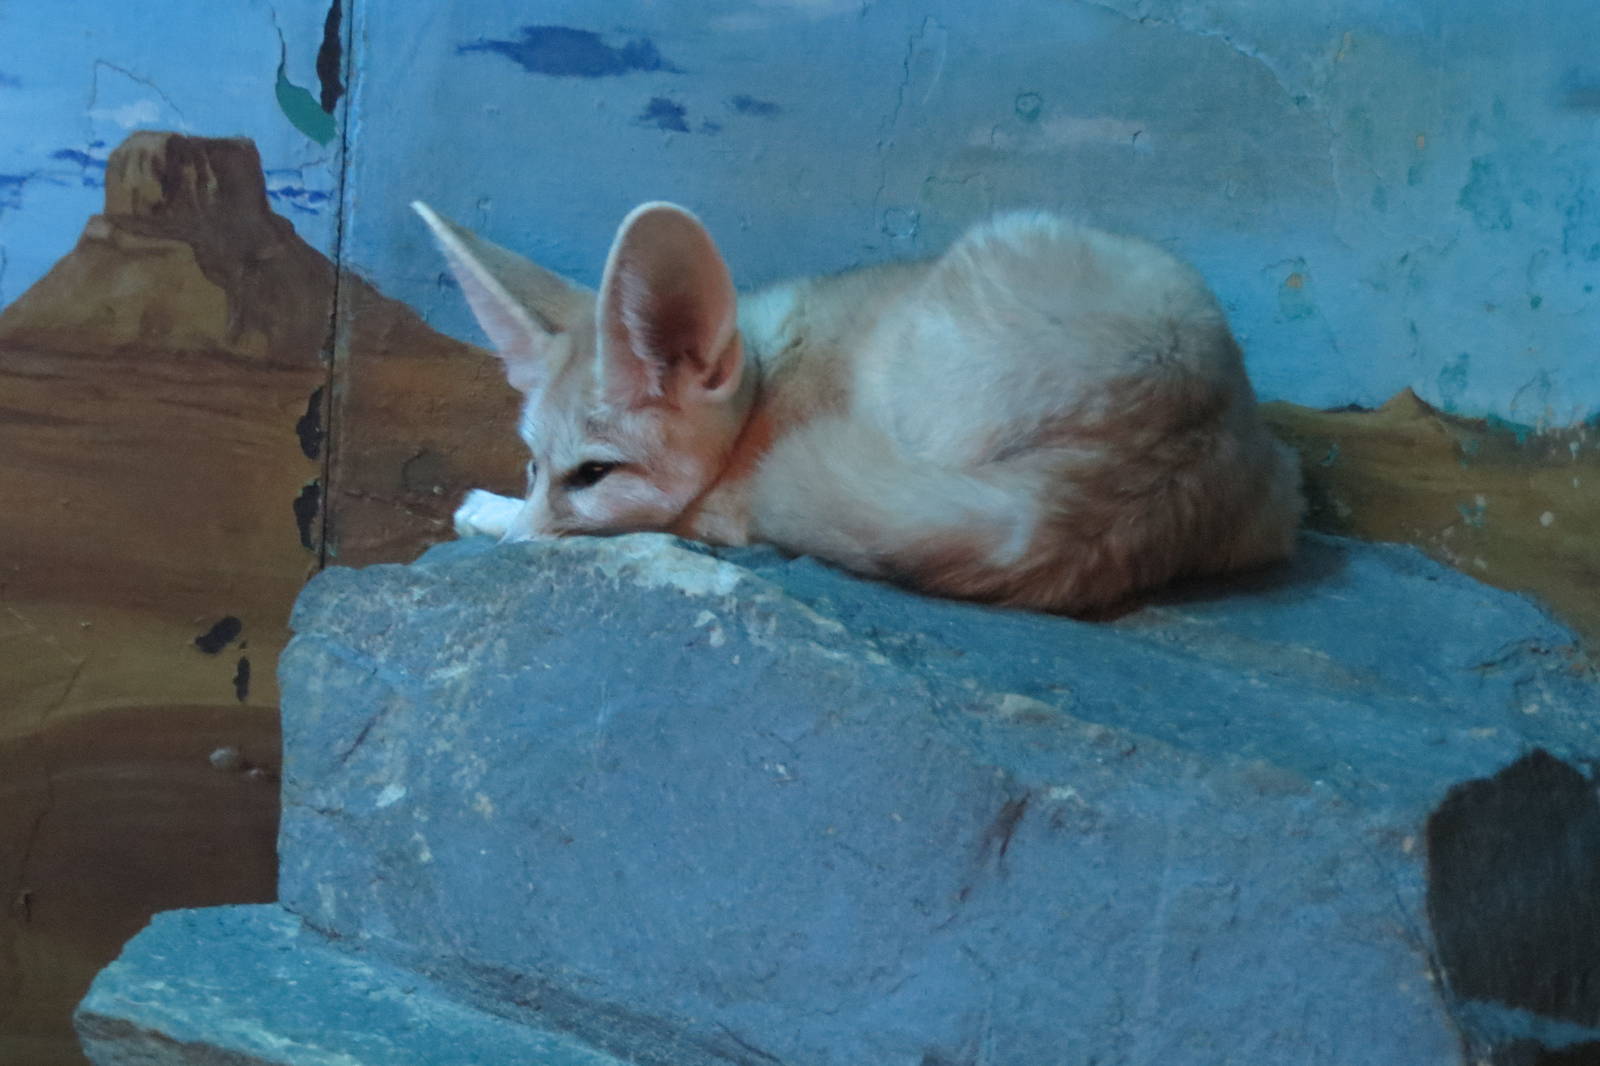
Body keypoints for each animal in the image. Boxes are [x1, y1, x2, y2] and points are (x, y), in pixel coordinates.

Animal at [414, 200, 1303, 613]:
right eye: (534, 464)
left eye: (593, 474)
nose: (514, 551)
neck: (765, 382)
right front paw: (499, 514)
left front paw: (489, 515)